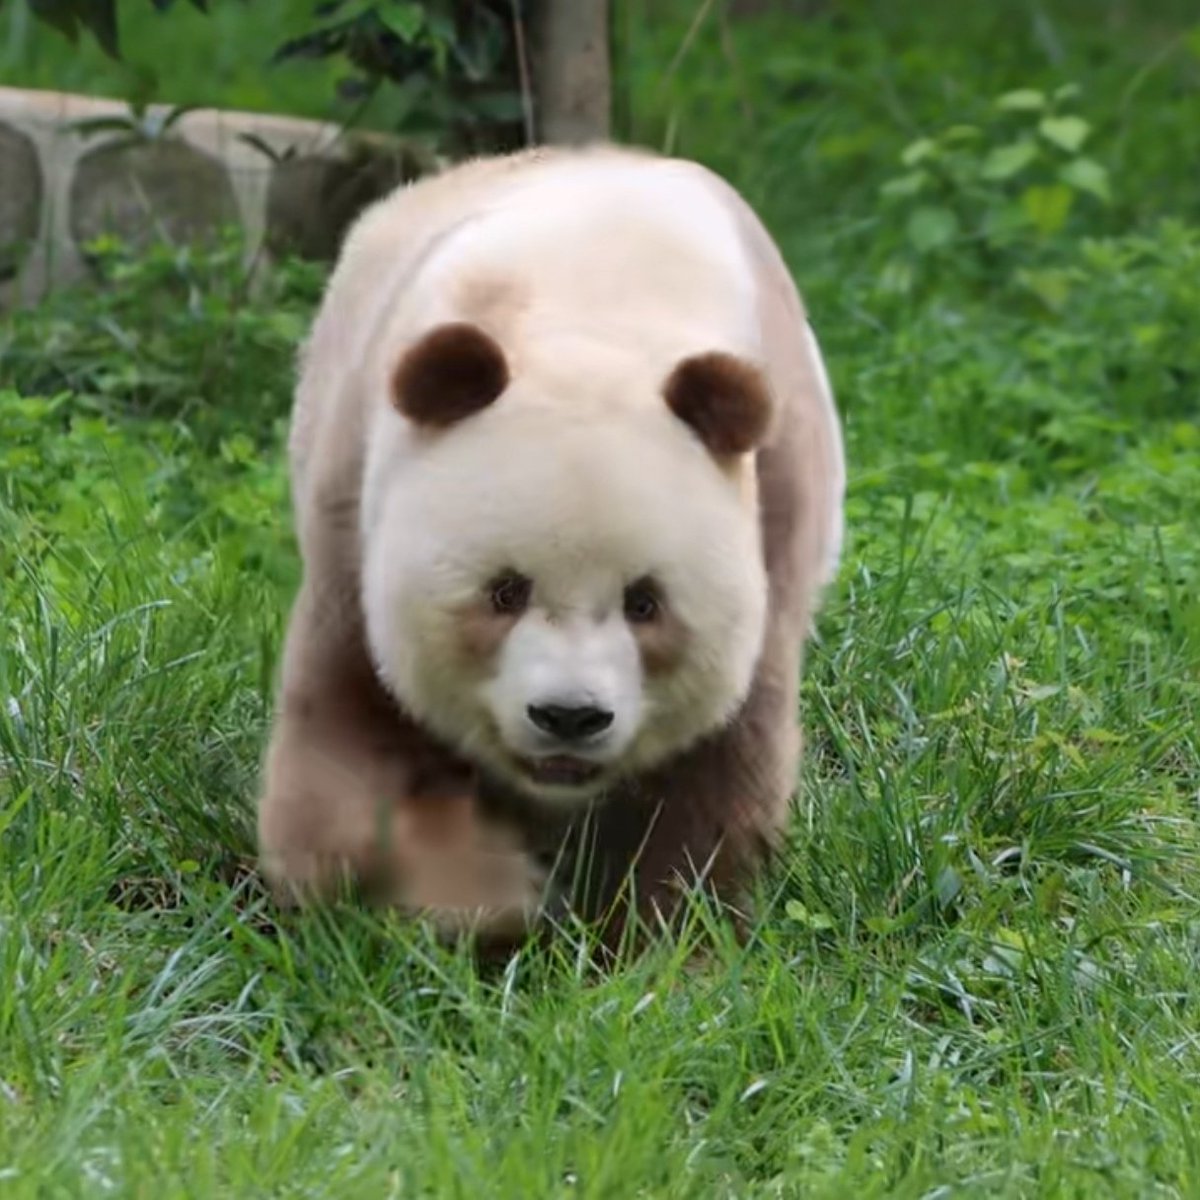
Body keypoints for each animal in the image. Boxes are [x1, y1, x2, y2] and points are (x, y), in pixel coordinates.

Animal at [256, 143, 845, 955]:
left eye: (644, 602)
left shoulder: (776, 517)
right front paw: (487, 898)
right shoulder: (355, 512)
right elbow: (345, 755)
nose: (569, 717)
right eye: (505, 590)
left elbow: (717, 770)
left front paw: (658, 945)